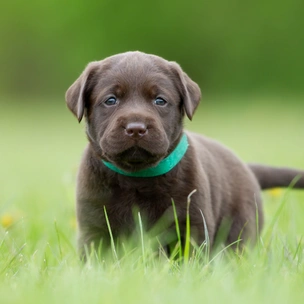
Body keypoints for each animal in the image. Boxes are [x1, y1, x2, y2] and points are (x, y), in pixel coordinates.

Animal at [66, 51, 304, 255]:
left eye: (160, 100)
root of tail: (247, 167)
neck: (136, 178)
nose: (136, 128)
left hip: (240, 225)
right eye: (110, 100)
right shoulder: (93, 227)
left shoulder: (193, 224)